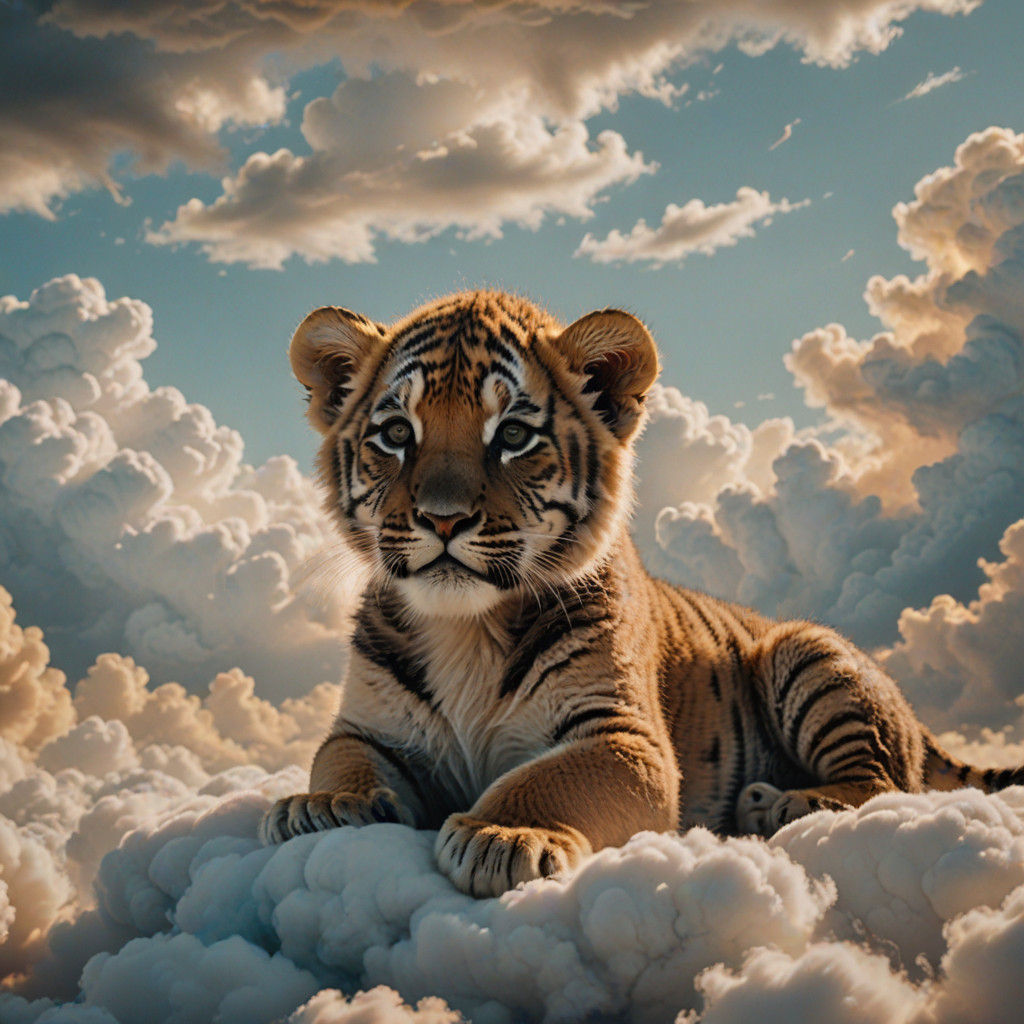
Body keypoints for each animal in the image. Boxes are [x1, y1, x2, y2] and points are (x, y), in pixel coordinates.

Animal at [260, 289, 1024, 898]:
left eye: (513, 434)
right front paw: (320, 805)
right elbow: (341, 759)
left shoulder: (622, 735)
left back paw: (775, 804)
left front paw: (503, 837)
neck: (464, 628)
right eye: (396, 433)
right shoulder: (367, 727)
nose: (442, 519)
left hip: (805, 653)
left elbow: (546, 778)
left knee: (881, 784)